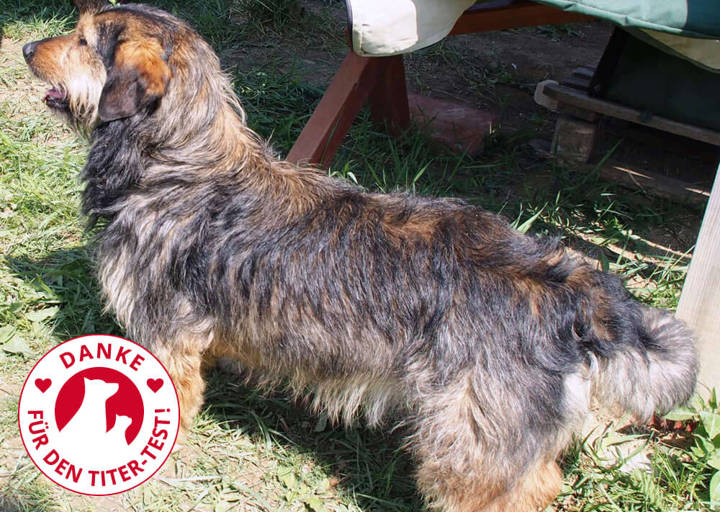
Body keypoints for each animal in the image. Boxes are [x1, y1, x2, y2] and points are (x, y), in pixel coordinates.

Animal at [23, 2, 697, 510]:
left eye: (81, 38)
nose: (27, 45)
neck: (178, 163)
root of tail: (569, 287)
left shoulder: (165, 336)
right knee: (538, 482)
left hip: (465, 442)